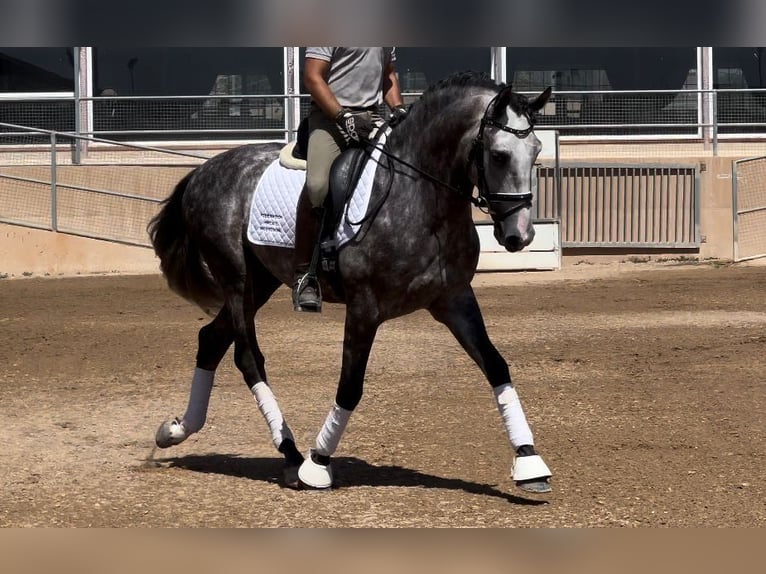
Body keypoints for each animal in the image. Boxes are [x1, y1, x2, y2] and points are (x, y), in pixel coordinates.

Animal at [150, 71, 556, 496]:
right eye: (499, 155)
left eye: (536, 149)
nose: (520, 235)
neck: (422, 197)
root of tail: (204, 170)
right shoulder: (364, 307)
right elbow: (350, 385)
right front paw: (317, 464)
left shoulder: (454, 299)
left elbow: (496, 365)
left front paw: (530, 462)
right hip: (237, 279)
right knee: (248, 359)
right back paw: (291, 455)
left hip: (259, 283)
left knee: (211, 341)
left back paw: (176, 430)